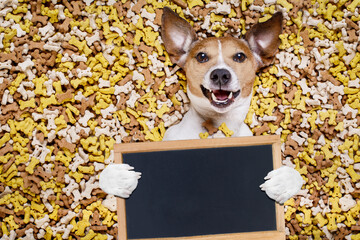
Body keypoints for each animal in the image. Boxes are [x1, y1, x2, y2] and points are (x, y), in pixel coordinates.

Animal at [99, 6, 304, 203]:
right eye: (202, 57)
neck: (216, 127)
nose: (220, 74)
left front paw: (285, 181)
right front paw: (115, 177)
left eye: (239, 57)